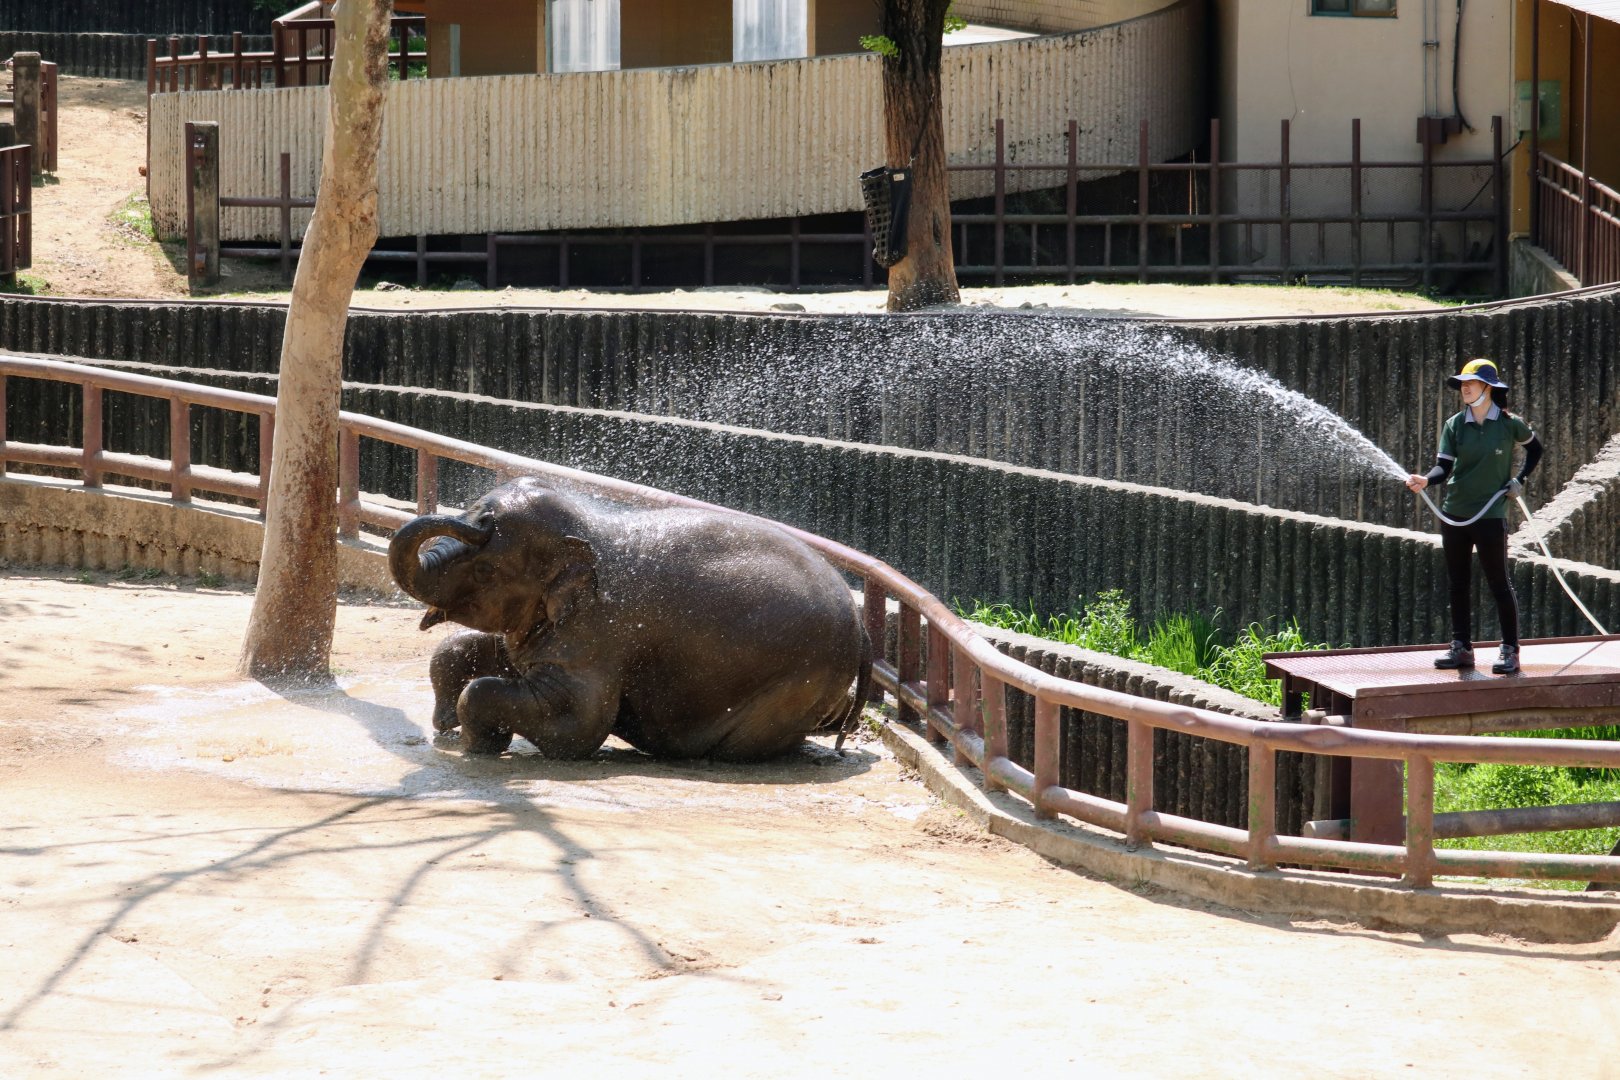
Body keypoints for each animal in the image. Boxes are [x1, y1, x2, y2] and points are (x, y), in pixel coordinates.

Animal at [389, 477, 873, 761]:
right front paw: (448, 727)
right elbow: (472, 649)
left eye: (486, 570)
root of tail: (862, 626)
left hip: (799, 682)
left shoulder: (597, 634)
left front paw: (478, 747)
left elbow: (580, 724)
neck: (587, 532)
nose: (481, 518)